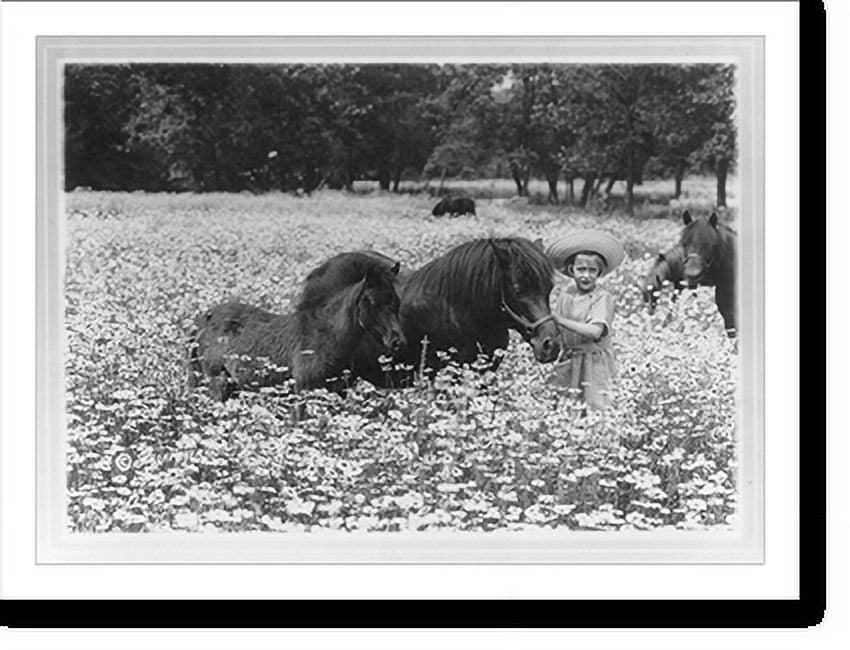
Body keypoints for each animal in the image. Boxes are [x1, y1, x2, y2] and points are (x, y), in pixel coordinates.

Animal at [186, 258, 404, 401]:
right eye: (372, 303)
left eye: (396, 302)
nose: (397, 341)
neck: (326, 336)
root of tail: (205, 318)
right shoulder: (303, 391)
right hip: (218, 383)